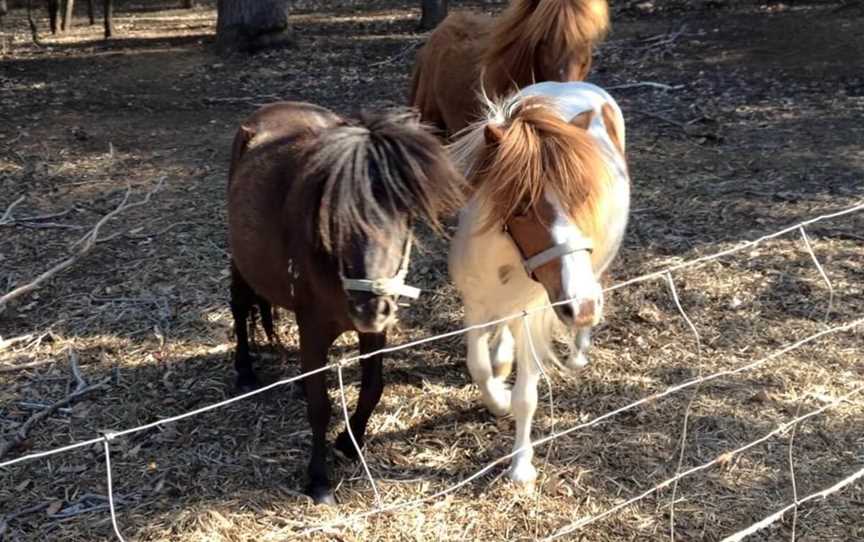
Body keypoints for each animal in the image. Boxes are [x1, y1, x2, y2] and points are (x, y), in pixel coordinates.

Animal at [226, 102, 462, 506]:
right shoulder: (314, 329)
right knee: (240, 309)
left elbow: (372, 387)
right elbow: (320, 407)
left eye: (404, 217)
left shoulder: (374, 334)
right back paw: (245, 371)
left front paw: (351, 443)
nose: (370, 309)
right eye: (337, 219)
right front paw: (319, 480)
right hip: (241, 265)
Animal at [448, 83, 632, 486]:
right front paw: (497, 397)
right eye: (520, 206)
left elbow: (526, 396)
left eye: (583, 196)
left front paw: (521, 466)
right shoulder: (475, 304)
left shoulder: (535, 314)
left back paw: (578, 352)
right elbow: (478, 365)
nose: (582, 308)